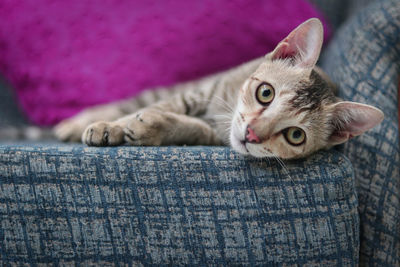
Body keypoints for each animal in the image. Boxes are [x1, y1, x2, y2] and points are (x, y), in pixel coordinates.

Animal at [53, 19, 382, 161]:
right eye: (266, 93)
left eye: (295, 135)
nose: (252, 133)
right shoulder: (196, 93)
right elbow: (159, 107)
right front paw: (113, 127)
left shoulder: (216, 136)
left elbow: (192, 128)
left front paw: (153, 127)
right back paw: (75, 124)